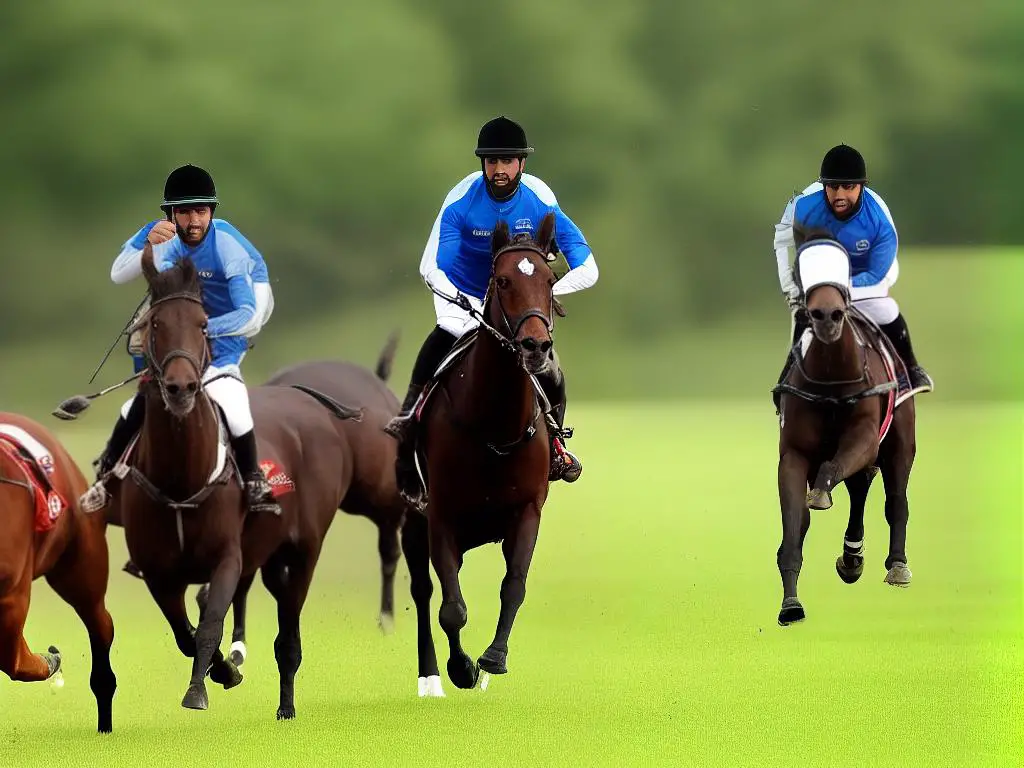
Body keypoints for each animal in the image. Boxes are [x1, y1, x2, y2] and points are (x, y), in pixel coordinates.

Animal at [109, 243, 360, 720]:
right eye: (155, 324)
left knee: (289, 638)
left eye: (203, 324)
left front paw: (200, 689)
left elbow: (208, 626)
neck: (181, 479)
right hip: (268, 555)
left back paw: (286, 707)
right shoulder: (157, 572)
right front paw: (222, 670)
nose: (182, 387)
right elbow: (186, 632)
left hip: (304, 550)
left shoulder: (227, 558)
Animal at [399, 210, 565, 692]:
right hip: (413, 524)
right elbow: (451, 607)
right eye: (503, 280)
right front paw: (461, 667)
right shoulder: (441, 516)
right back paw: (430, 675)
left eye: (549, 279)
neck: (494, 429)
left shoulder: (527, 511)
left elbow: (514, 585)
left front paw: (493, 657)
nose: (536, 346)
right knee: (423, 593)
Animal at [770, 225, 917, 626]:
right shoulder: (794, 454)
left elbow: (833, 473)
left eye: (845, 264)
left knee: (895, 499)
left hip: (901, 441)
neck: (832, 379)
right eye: (803, 263)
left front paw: (821, 494)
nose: (827, 315)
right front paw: (791, 605)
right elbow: (795, 527)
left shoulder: (865, 436)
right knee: (859, 487)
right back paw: (852, 558)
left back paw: (896, 565)